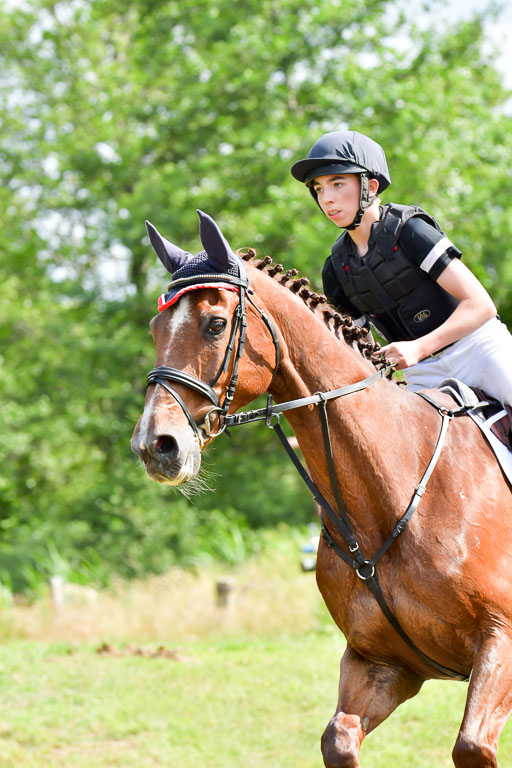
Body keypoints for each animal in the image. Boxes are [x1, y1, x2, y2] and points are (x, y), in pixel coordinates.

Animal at [131, 210, 512, 768]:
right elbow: (339, 739)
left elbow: (472, 746)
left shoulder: (501, 640)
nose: (155, 446)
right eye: (157, 327)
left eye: (215, 324)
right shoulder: (379, 662)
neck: (386, 498)